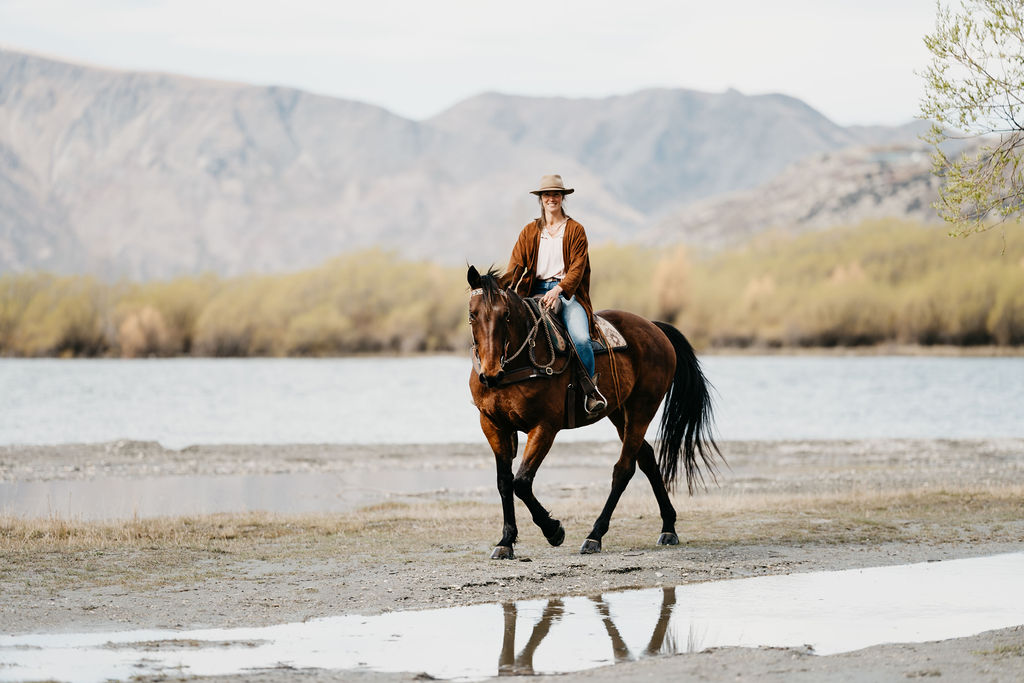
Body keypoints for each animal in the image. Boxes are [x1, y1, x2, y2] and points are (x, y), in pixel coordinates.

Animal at [466, 264, 720, 557]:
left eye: (505, 315)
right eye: (472, 315)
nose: (491, 373)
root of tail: (655, 328)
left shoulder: (544, 427)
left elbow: (522, 481)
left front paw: (554, 530)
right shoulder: (493, 425)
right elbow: (505, 483)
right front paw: (506, 541)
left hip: (642, 409)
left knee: (623, 469)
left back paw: (595, 535)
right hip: (619, 413)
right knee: (646, 458)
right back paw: (668, 527)